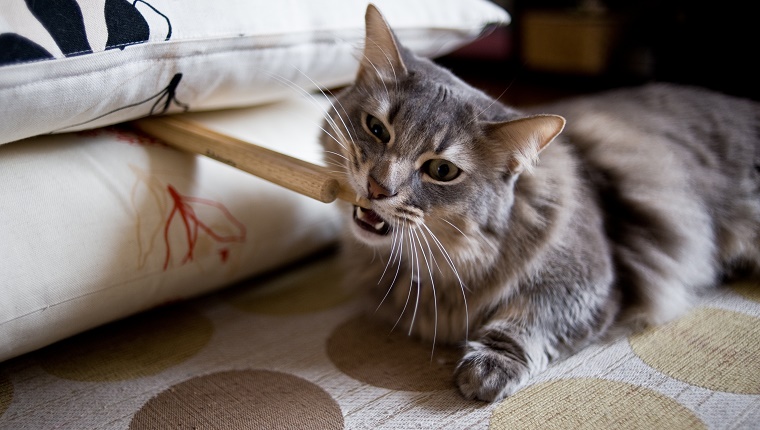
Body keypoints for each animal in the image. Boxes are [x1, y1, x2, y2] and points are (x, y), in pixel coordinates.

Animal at [320, 3, 760, 402]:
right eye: (376, 129)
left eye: (442, 170)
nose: (378, 188)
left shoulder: (587, 278)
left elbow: (530, 318)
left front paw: (488, 367)